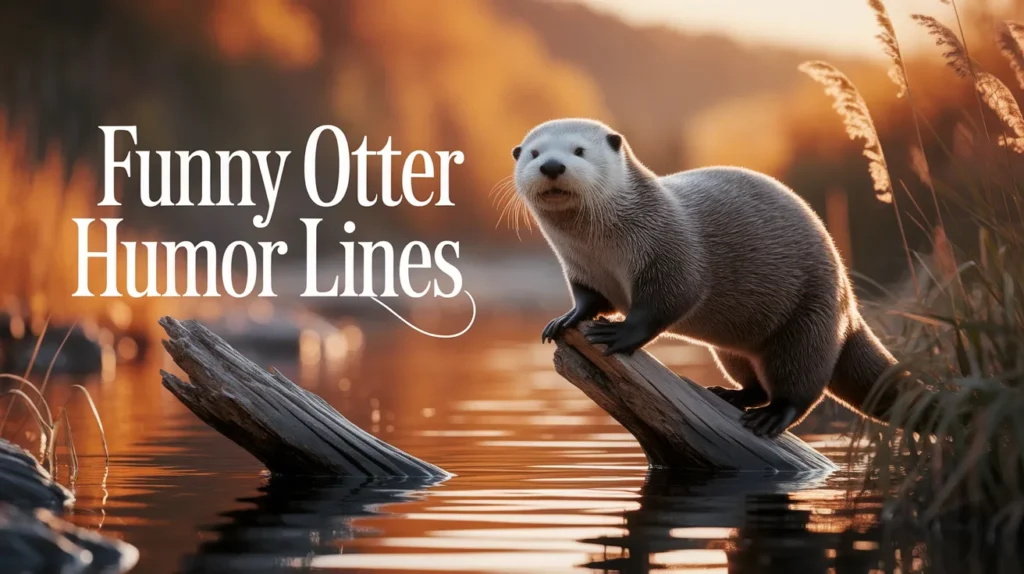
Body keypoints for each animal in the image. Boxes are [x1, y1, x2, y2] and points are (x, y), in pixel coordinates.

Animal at [513, 118, 899, 438]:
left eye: (579, 150)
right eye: (533, 153)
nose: (551, 165)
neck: (603, 249)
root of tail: (848, 302)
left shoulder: (670, 251)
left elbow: (670, 300)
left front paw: (619, 334)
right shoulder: (581, 269)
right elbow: (589, 300)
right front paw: (565, 320)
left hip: (809, 320)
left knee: (801, 386)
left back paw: (772, 417)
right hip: (735, 349)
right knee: (756, 380)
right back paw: (731, 395)